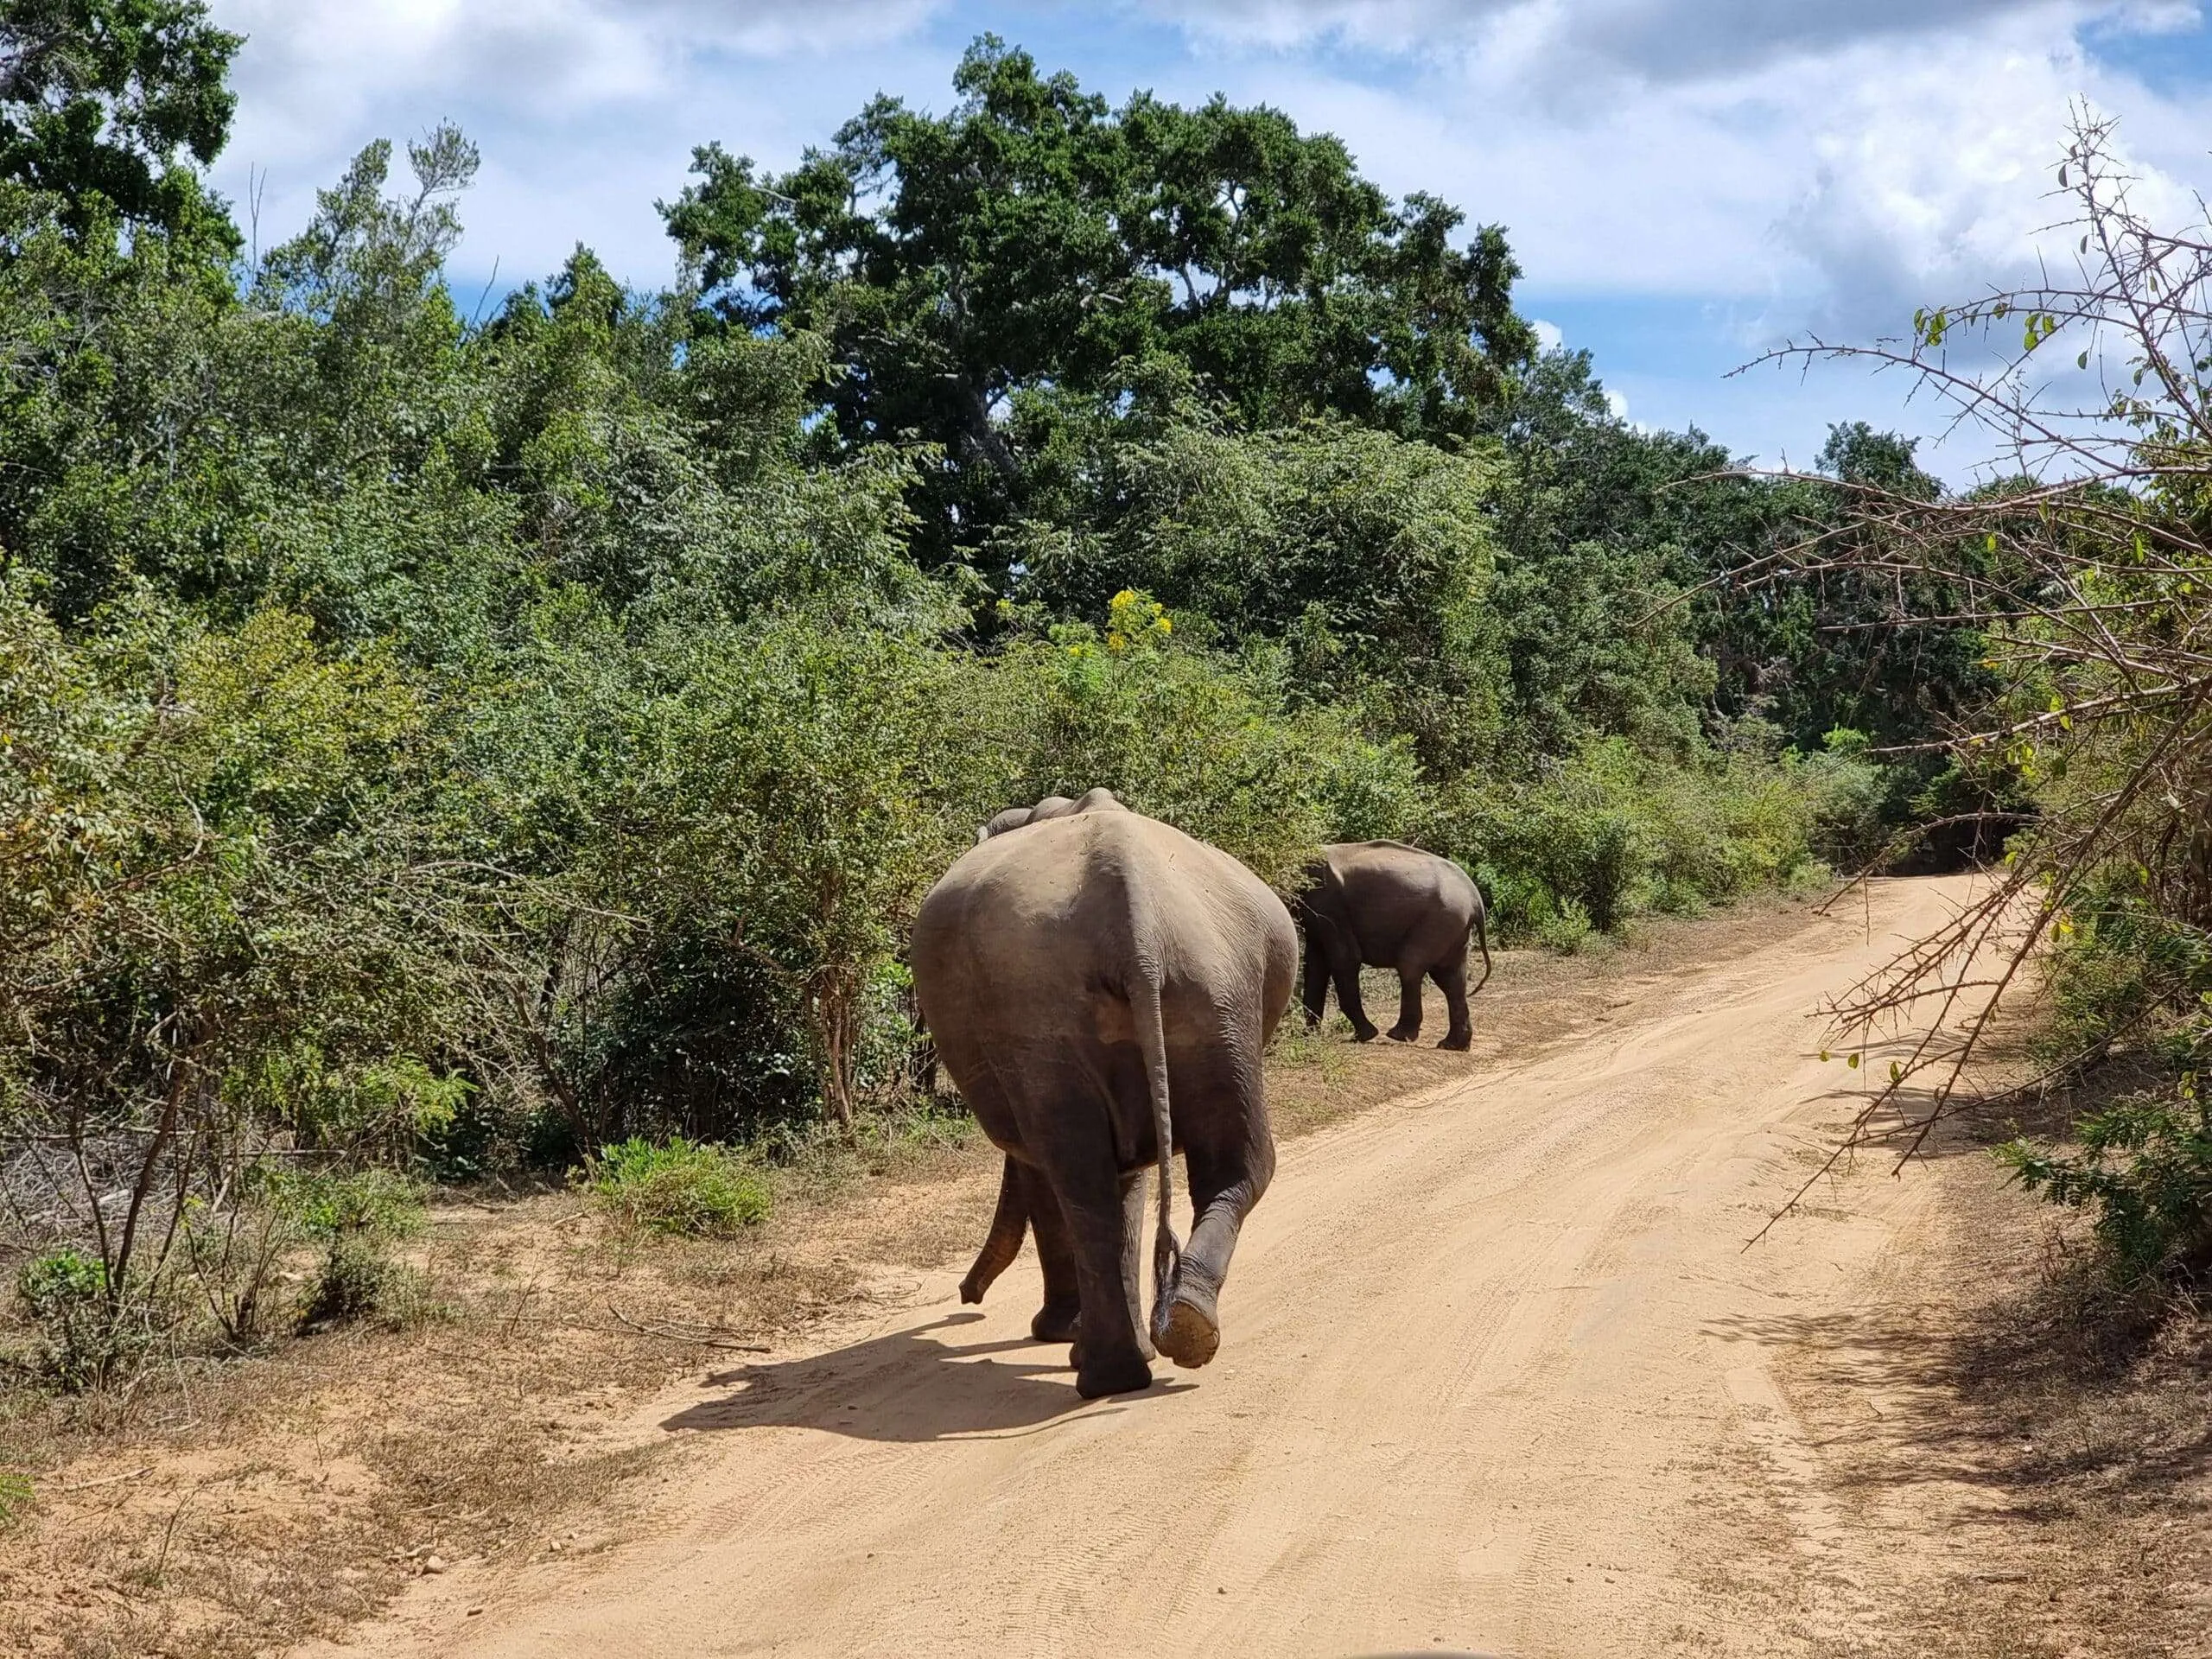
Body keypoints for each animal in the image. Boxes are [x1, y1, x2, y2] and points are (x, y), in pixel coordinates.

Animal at [914, 793, 1296, 1398]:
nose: (965, 1300)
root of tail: (1133, 923)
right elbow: (1124, 1172)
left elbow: (1054, 1173)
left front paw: (1057, 1337)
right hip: (1213, 994)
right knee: (1228, 1165)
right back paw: (1174, 1338)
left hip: (1067, 1014)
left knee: (1078, 1177)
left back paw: (1110, 1368)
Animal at [1294, 840, 1492, 1051]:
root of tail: (1475, 898)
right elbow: (1315, 964)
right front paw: (1308, 1037)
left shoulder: (1328, 904)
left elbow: (1345, 959)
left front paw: (1365, 1035)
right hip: (1454, 926)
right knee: (1452, 979)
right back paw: (1452, 1045)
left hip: (1440, 920)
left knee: (1411, 967)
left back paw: (1398, 1035)